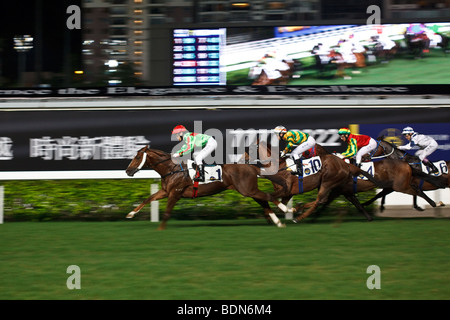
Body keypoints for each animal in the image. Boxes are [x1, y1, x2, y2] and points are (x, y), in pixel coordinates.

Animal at [124, 145, 288, 230]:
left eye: (137, 157)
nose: (127, 171)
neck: (172, 169)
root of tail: (251, 166)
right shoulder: (166, 191)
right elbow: (148, 198)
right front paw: (131, 214)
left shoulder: (175, 193)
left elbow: (167, 212)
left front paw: (160, 229)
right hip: (248, 190)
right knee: (264, 201)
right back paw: (278, 222)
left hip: (247, 189)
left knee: (268, 196)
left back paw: (286, 209)